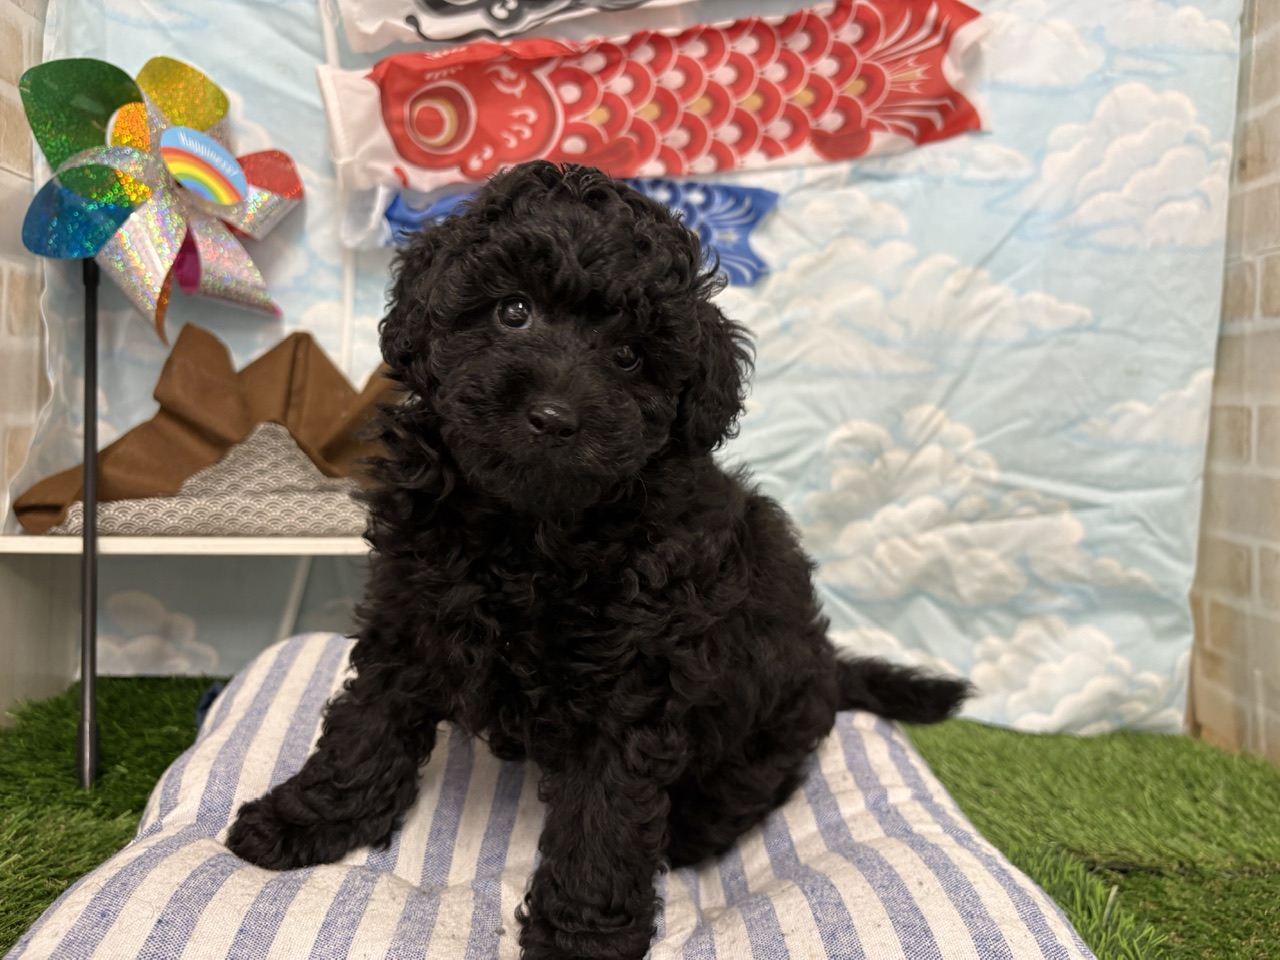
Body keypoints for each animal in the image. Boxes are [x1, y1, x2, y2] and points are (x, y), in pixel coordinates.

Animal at [226, 160, 971, 960]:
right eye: (513, 311)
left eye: (629, 356)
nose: (553, 417)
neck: (528, 531)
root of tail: (829, 668)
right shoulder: (414, 607)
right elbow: (368, 721)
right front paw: (310, 818)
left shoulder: (636, 676)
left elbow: (606, 813)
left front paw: (581, 937)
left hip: (773, 700)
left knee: (757, 777)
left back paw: (692, 829)